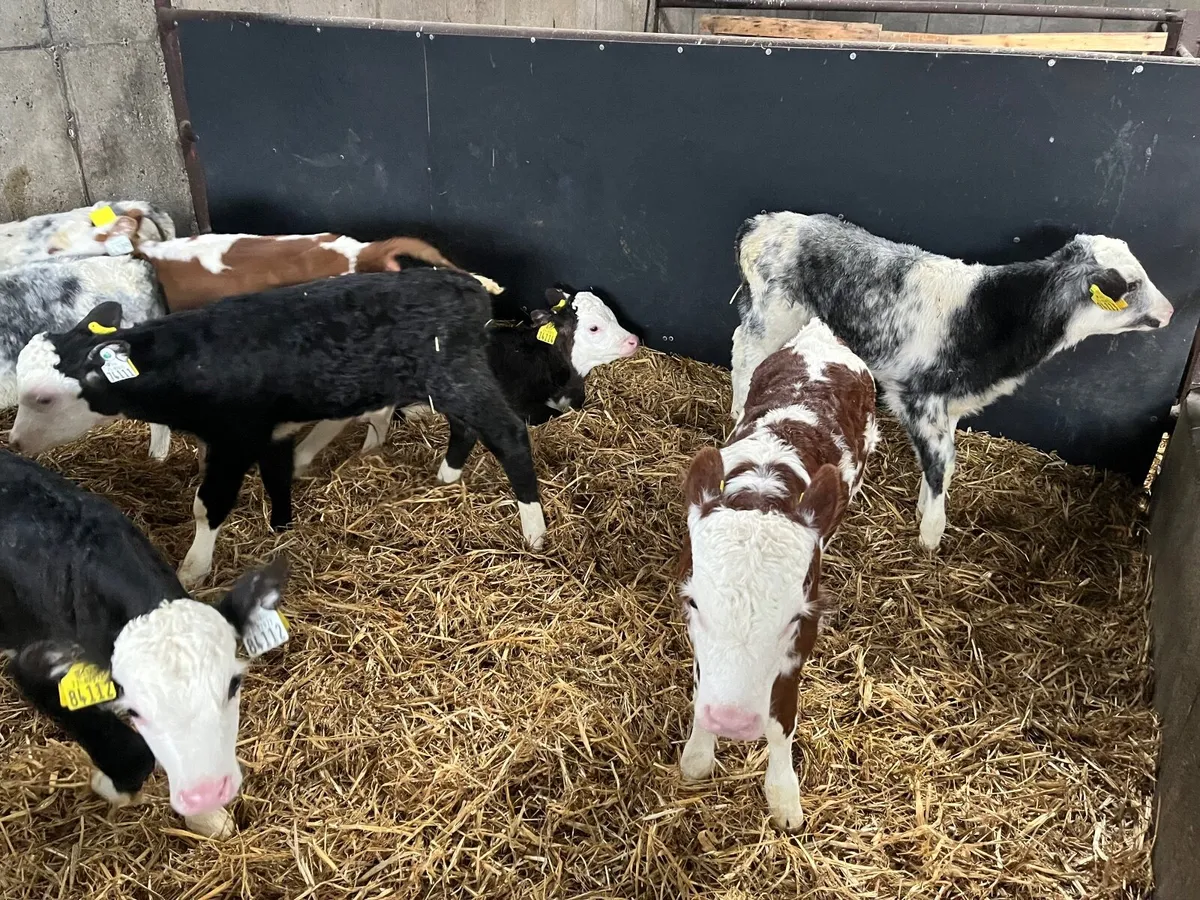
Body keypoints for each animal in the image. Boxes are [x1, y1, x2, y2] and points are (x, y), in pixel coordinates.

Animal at [0, 450, 289, 838]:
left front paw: (208, 818)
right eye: (138, 707)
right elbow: (134, 754)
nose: (210, 791)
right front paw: (105, 784)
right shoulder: (36, 667)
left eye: (232, 685)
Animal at [9, 269, 547, 587]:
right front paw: (281, 525)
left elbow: (207, 506)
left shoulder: (234, 438)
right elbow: (277, 475)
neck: (192, 362)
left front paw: (193, 569)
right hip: (447, 381)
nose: (13, 442)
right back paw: (447, 477)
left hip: (457, 375)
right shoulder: (269, 431)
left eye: (42, 398)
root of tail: (469, 284)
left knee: (509, 434)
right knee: (466, 428)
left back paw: (534, 531)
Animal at [679, 318, 877, 831]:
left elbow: (782, 718)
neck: (763, 488)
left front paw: (784, 797)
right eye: (694, 603)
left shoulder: (800, 640)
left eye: (792, 617)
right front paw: (698, 755)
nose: (732, 722)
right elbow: (701, 681)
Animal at [730, 211, 1175, 550]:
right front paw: (931, 534)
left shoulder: (951, 404)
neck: (996, 315)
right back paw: (737, 411)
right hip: (774, 314)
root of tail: (763, 223)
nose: (1170, 311)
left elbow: (940, 467)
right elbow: (942, 463)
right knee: (745, 354)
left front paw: (923, 509)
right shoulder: (918, 398)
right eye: (1131, 285)